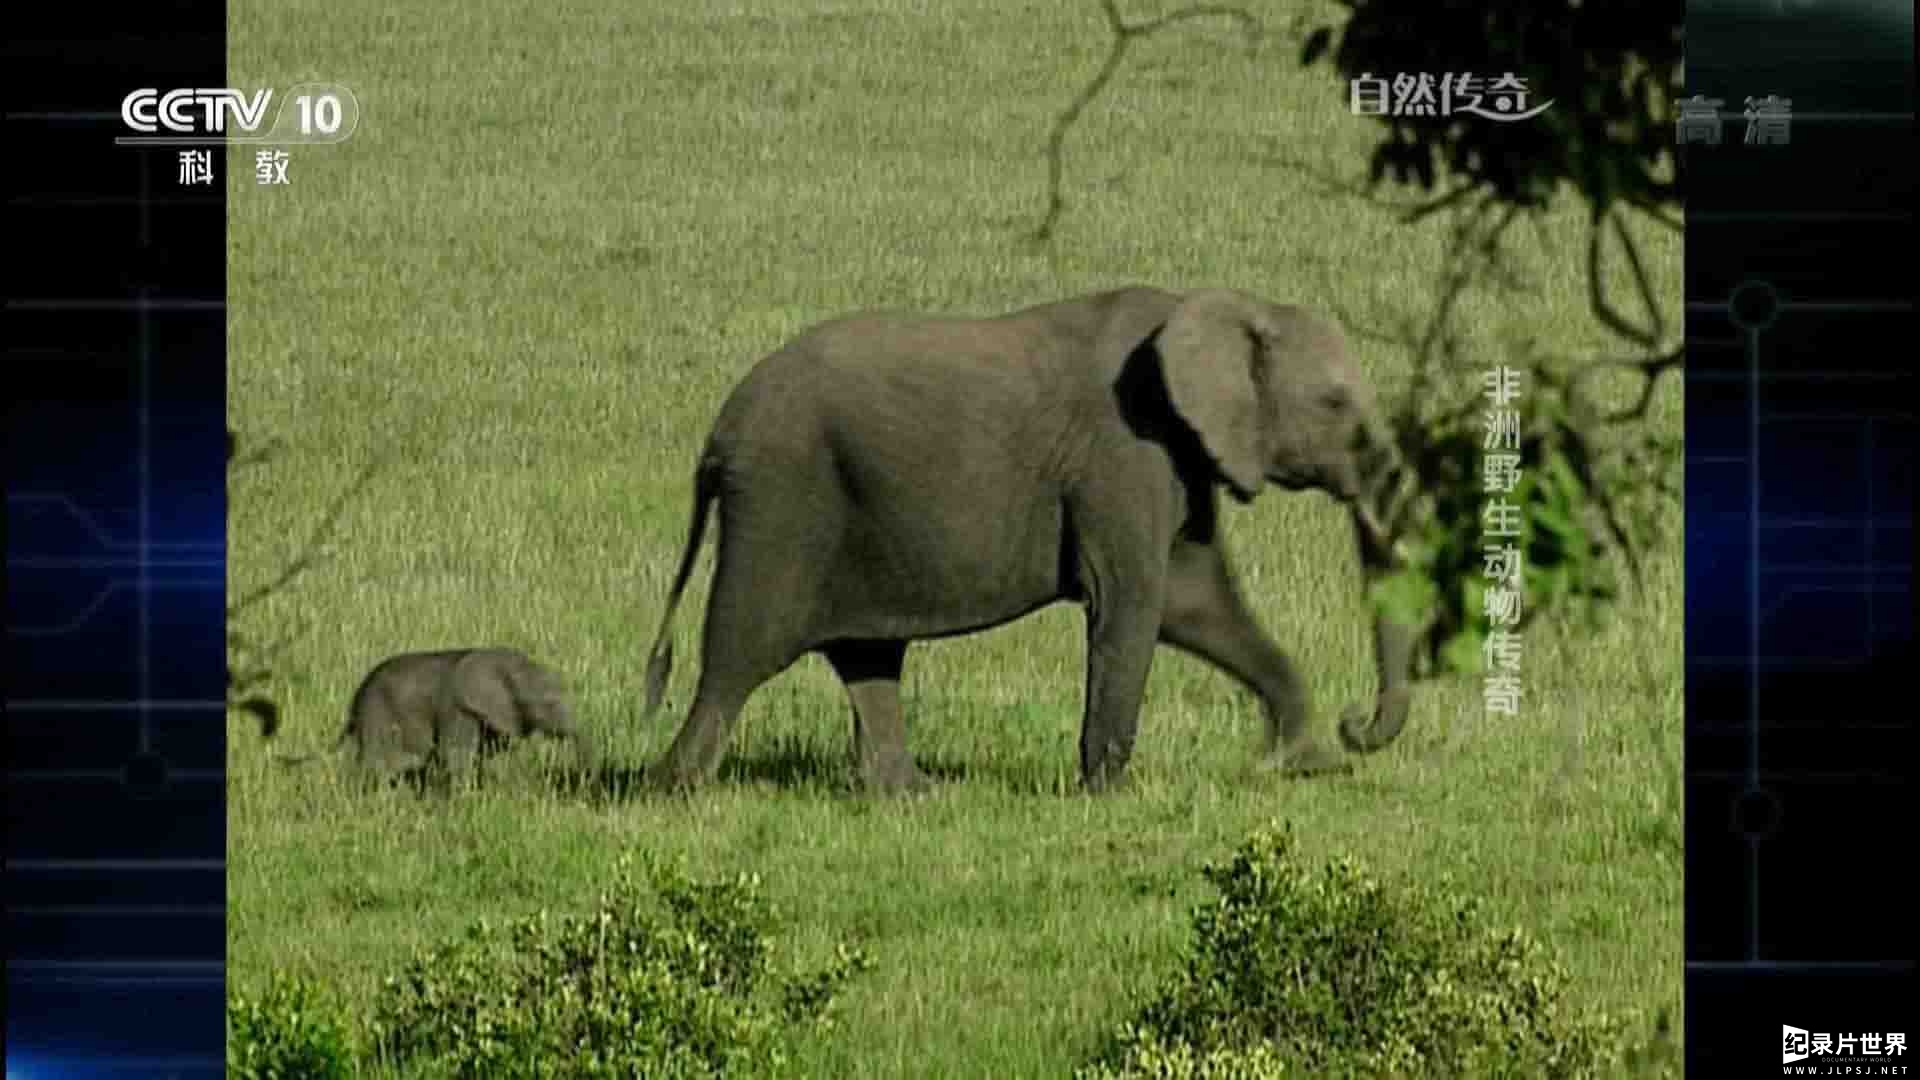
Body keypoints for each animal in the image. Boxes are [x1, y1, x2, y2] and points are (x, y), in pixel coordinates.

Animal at [284, 641, 595, 787]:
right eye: (549, 703)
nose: (585, 778)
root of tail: (353, 705)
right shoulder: (457, 709)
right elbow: (456, 755)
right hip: (378, 720)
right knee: (376, 766)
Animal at [645, 286, 1428, 791]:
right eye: (1334, 403)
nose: (1359, 725)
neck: (1218, 302)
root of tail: (717, 434)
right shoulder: (1124, 453)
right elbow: (1132, 604)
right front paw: (1109, 792)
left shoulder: (1181, 456)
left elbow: (1195, 603)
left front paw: (1306, 763)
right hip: (781, 503)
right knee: (742, 650)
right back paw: (677, 788)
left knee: (867, 655)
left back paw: (913, 795)